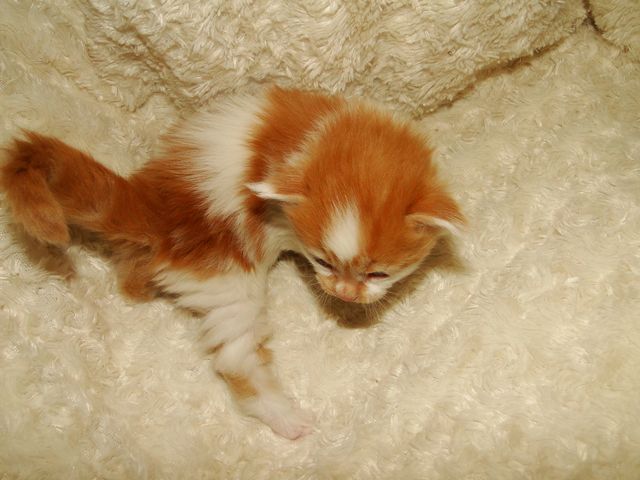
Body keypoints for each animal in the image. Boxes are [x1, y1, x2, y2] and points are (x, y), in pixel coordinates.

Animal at [1, 86, 463, 439]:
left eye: (378, 272)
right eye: (322, 262)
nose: (344, 293)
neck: (324, 138)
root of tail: (153, 205)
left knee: (130, 279)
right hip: (228, 279)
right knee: (236, 355)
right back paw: (285, 417)